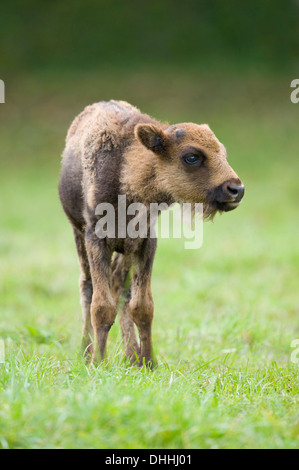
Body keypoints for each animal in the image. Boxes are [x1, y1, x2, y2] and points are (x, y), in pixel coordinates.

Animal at [59, 101, 246, 368]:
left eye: (223, 153)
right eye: (192, 156)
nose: (236, 189)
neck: (126, 167)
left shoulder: (145, 242)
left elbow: (142, 306)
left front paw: (148, 363)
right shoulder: (96, 239)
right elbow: (102, 306)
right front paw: (99, 363)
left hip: (124, 251)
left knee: (119, 285)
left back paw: (131, 357)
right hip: (78, 232)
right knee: (87, 287)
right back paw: (86, 355)